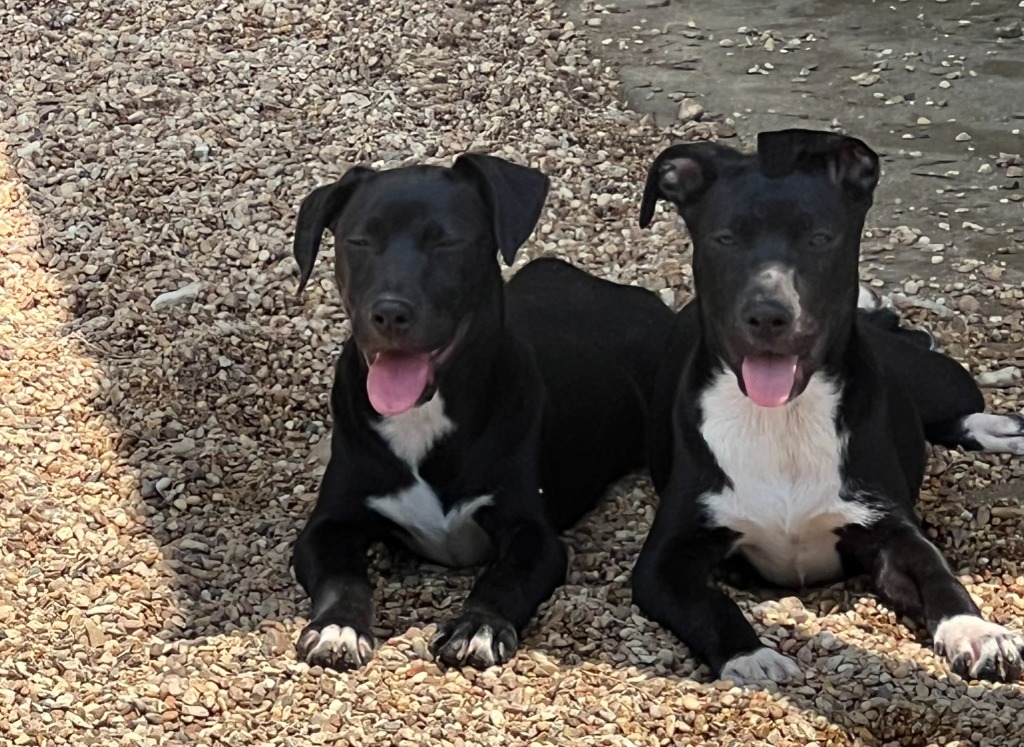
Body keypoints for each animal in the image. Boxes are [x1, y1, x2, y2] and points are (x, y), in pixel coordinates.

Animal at [288, 152, 675, 672]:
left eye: (447, 242)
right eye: (359, 241)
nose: (389, 313)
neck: (423, 416)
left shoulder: (534, 535)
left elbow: (503, 578)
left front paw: (479, 626)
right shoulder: (329, 524)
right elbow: (341, 576)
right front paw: (339, 626)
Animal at [630, 128, 1024, 680]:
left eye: (819, 238)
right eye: (725, 239)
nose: (768, 315)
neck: (782, 418)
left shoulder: (886, 528)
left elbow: (936, 571)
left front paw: (975, 630)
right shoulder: (664, 559)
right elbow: (709, 603)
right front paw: (750, 656)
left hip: (937, 379)